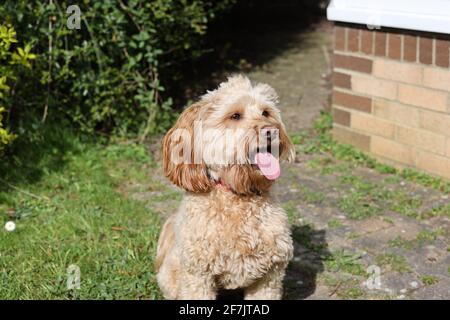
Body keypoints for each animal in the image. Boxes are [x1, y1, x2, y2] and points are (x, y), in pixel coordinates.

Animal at [155, 75, 296, 300]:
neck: (238, 195)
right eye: (235, 116)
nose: (271, 131)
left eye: (266, 112)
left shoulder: (270, 275)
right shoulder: (198, 275)